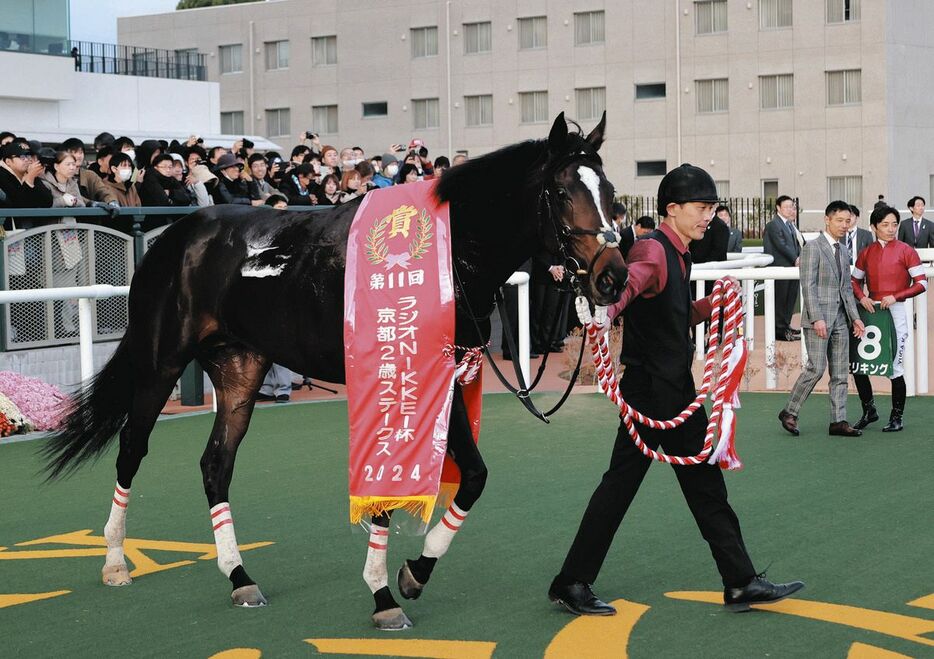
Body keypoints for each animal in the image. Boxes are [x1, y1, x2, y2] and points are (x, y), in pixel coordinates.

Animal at [42, 112, 628, 628]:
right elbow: (391, 486)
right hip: (161, 359)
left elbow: (475, 477)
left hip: (240, 364)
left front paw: (413, 573)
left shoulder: (438, 375)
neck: (449, 251)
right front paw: (384, 595)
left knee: (216, 464)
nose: (612, 276)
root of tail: (173, 236)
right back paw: (115, 560)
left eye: (611, 192)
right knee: (132, 447)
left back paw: (239, 576)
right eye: (561, 193)